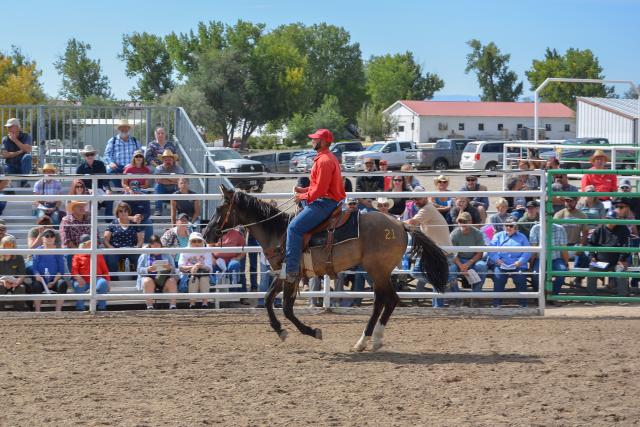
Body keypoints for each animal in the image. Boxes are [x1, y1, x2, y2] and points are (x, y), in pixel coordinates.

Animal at [202, 186, 448, 352]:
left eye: (220, 207)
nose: (206, 233)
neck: (279, 232)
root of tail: (400, 224)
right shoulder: (285, 274)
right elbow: (269, 299)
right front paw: (280, 330)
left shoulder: (291, 275)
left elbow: (287, 309)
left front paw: (312, 331)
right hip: (380, 272)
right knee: (387, 300)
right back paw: (373, 340)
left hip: (377, 270)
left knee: (385, 300)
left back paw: (365, 340)